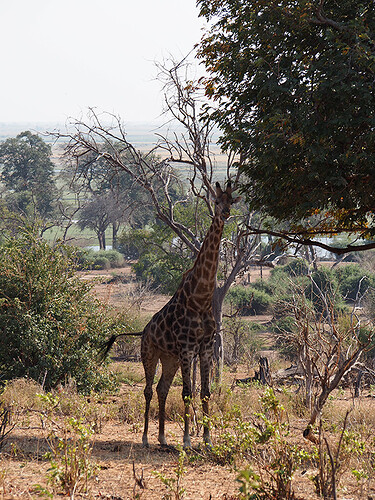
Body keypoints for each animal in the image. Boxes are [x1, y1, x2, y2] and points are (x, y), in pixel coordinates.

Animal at [141, 182, 241, 448]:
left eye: (231, 201)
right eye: (216, 201)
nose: (225, 213)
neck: (202, 297)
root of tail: (144, 331)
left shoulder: (205, 346)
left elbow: (204, 392)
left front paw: (207, 439)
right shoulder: (187, 347)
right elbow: (187, 392)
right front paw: (187, 440)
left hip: (170, 359)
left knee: (162, 388)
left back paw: (163, 438)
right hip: (149, 354)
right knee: (148, 390)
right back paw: (145, 438)